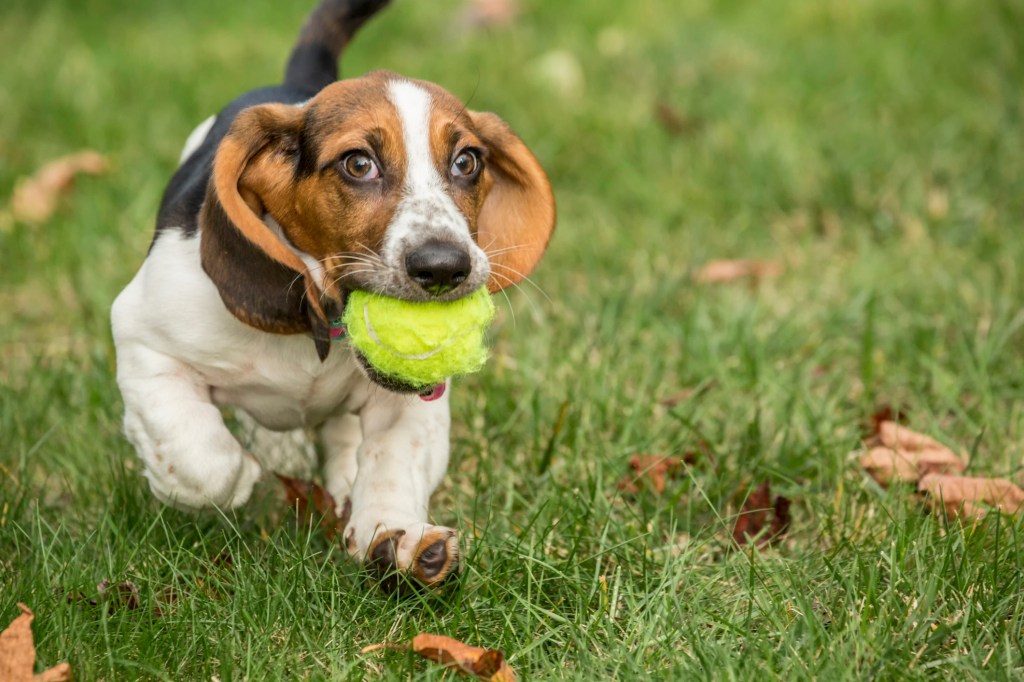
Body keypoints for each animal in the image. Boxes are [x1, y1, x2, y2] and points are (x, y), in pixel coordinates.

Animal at [109, 0, 557, 585]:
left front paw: (397, 535)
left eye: (467, 162)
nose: (445, 267)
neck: (320, 326)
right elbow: (197, 455)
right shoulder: (143, 339)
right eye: (358, 164)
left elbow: (392, 461)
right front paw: (239, 476)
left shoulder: (413, 406)